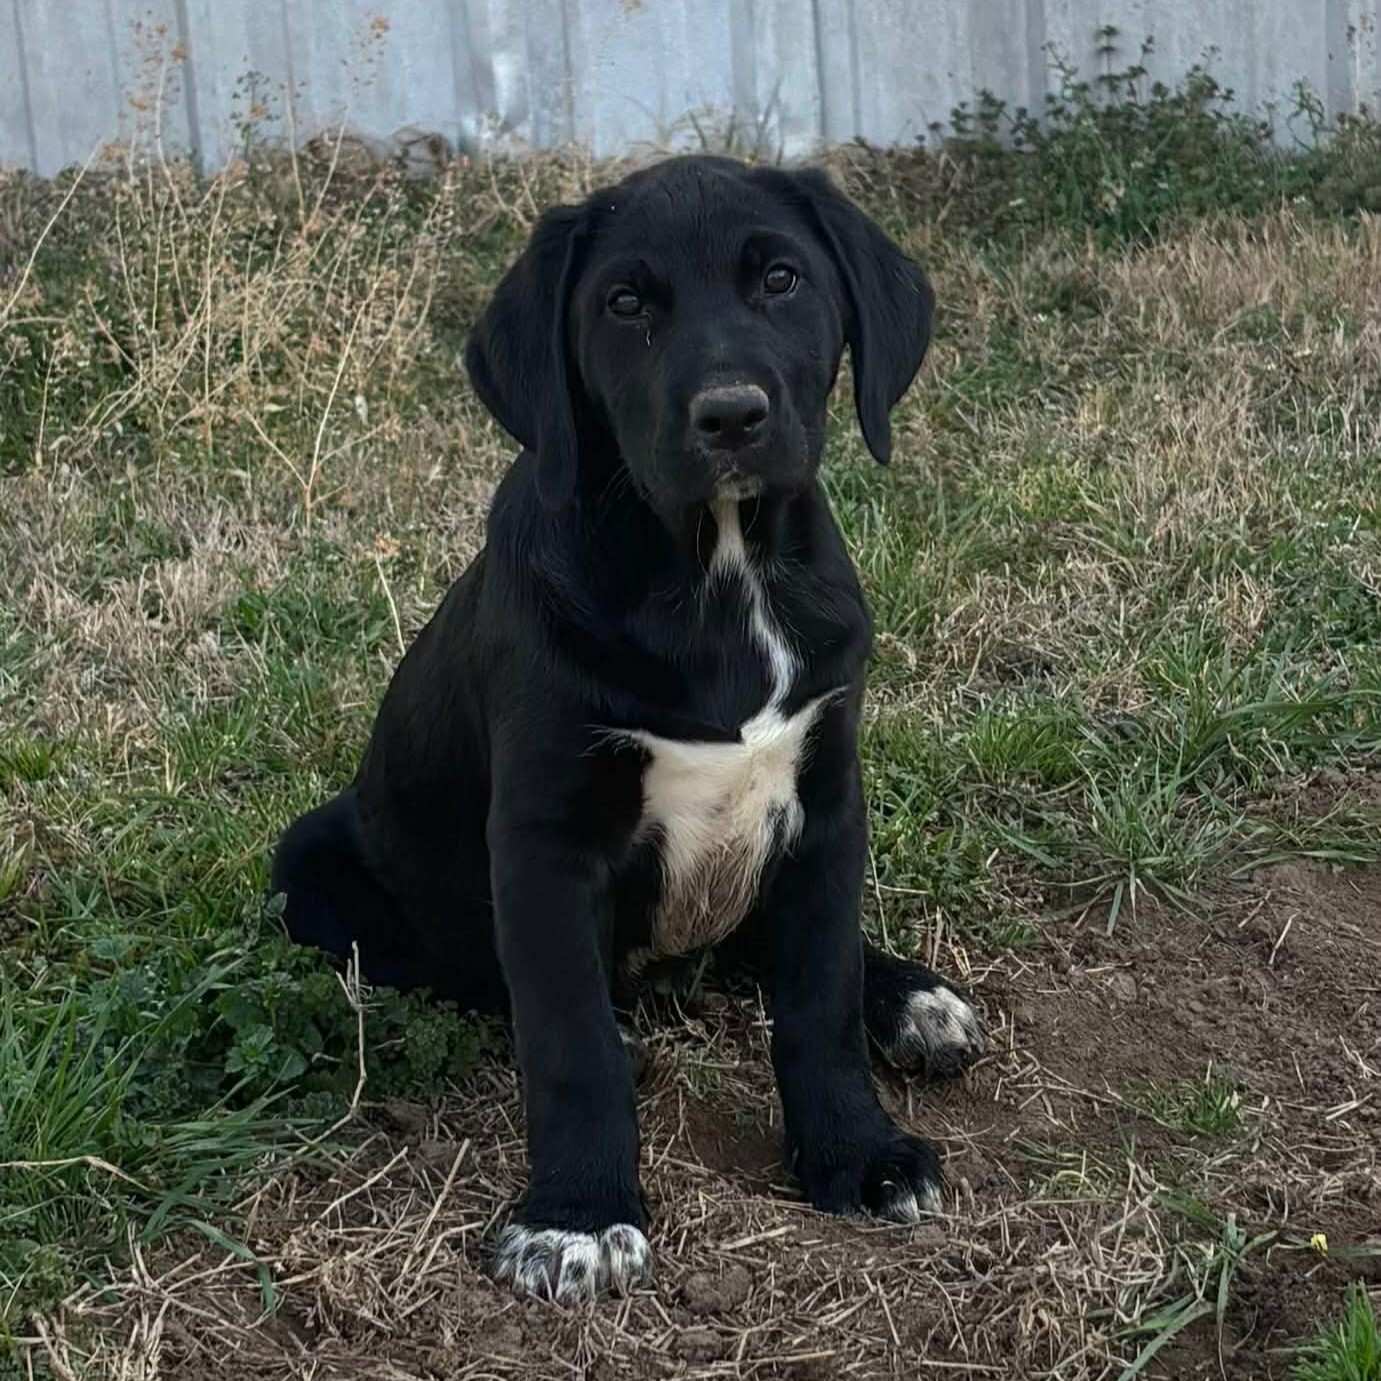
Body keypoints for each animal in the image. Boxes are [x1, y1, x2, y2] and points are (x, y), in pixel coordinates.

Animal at [272, 154, 985, 1303]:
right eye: (623, 305)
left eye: (780, 278)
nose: (731, 416)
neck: (716, 568)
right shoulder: (544, 843)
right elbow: (567, 1040)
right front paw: (574, 1215)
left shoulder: (827, 805)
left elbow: (818, 995)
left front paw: (856, 1149)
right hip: (309, 869)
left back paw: (912, 998)